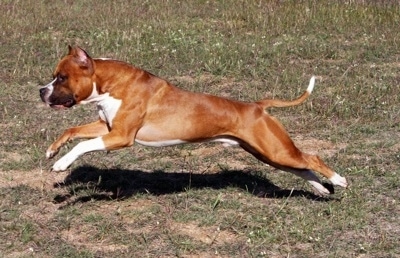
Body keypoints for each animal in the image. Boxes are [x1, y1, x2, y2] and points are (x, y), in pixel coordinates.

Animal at [39, 46, 346, 196]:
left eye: (62, 77)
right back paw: (322, 189)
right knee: (303, 168)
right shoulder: (107, 128)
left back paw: (339, 180)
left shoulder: (120, 137)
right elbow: (72, 131)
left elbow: (82, 146)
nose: (41, 91)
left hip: (276, 150)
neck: (111, 84)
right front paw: (53, 150)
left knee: (313, 158)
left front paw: (61, 164)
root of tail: (257, 107)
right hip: (269, 154)